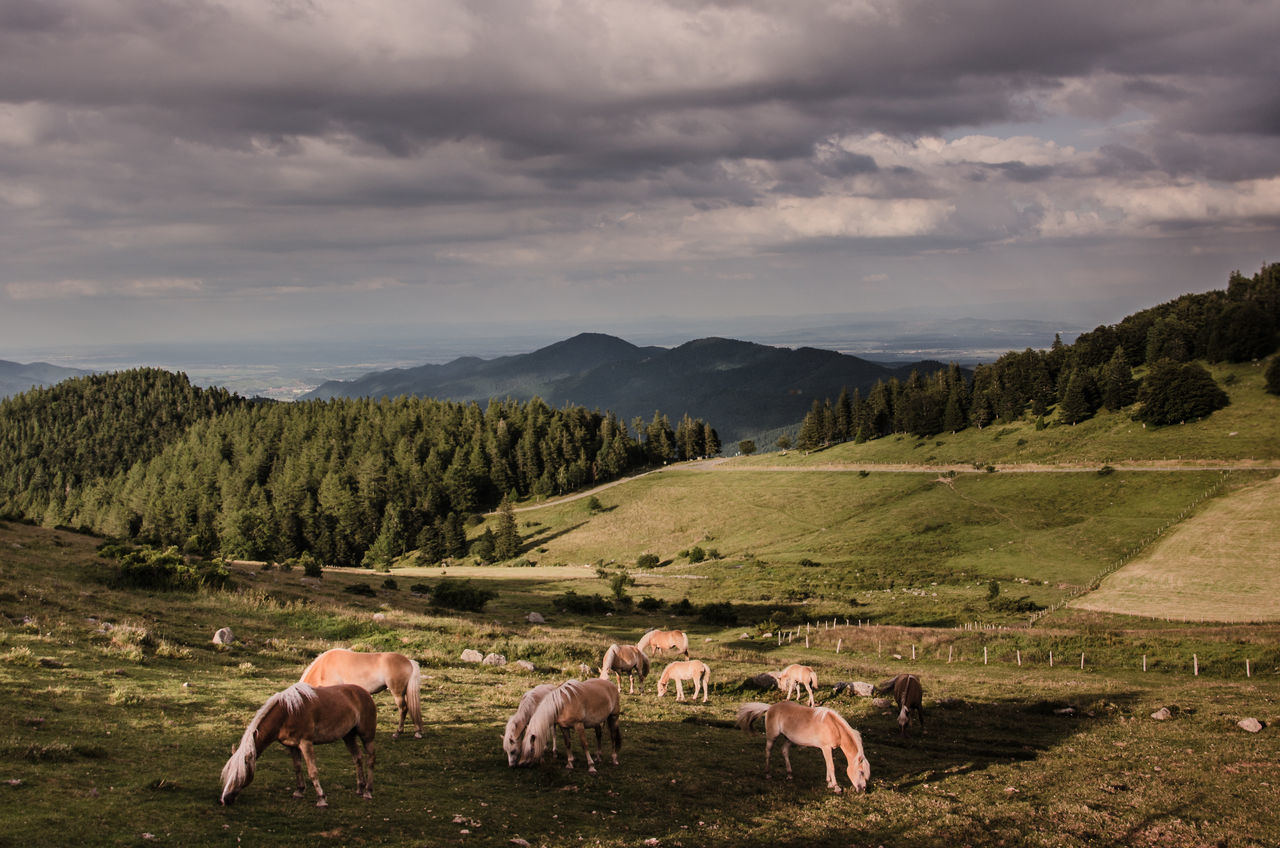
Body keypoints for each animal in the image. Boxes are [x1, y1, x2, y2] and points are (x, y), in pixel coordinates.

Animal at [220, 686, 373, 809]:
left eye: (239, 773)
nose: (225, 799)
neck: (288, 713)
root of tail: (364, 692)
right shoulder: (291, 746)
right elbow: (297, 767)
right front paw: (299, 791)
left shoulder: (306, 743)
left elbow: (312, 771)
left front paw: (321, 799)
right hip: (348, 736)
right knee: (357, 758)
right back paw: (360, 788)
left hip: (367, 736)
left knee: (370, 760)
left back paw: (368, 792)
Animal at [742, 701, 870, 794]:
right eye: (861, 772)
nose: (863, 789)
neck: (834, 726)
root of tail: (770, 707)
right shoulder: (826, 748)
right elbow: (831, 767)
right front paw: (836, 787)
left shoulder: (829, 749)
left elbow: (828, 765)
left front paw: (829, 783)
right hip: (771, 737)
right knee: (768, 751)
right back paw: (768, 774)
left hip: (789, 739)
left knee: (784, 751)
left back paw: (789, 774)